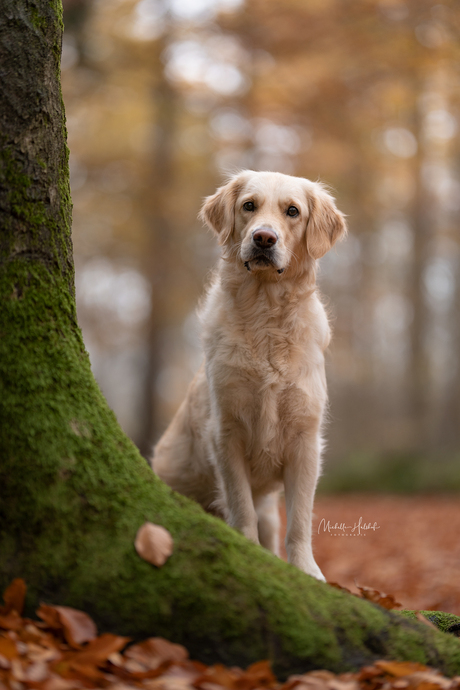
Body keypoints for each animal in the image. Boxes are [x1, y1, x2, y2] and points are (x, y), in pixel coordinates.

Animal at [151, 169, 344, 576]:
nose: (263, 238)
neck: (265, 313)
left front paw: (307, 571)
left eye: (292, 211)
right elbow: (241, 509)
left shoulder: (305, 439)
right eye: (249, 206)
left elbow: (300, 519)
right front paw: (249, 552)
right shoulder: (226, 432)